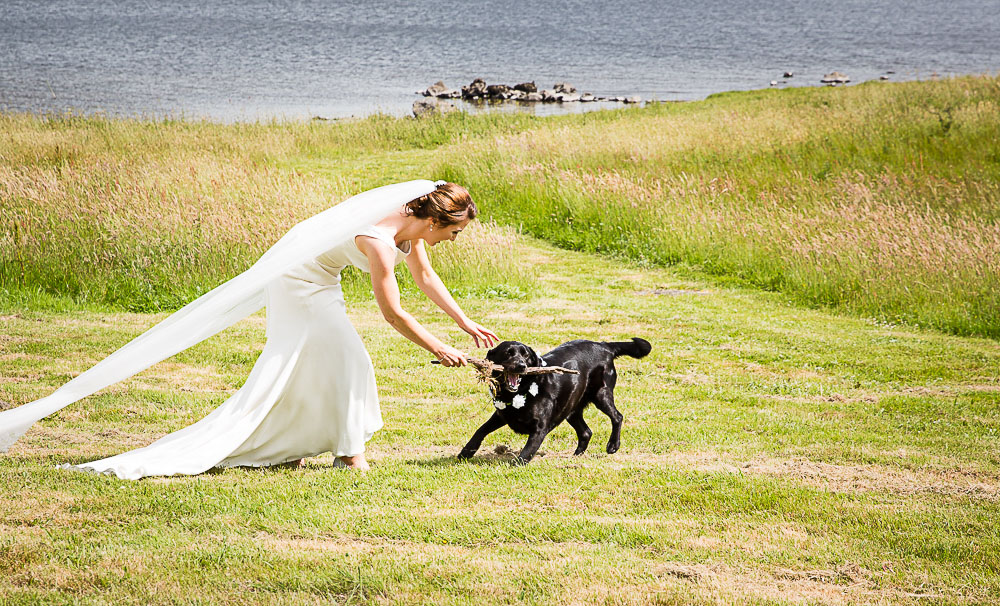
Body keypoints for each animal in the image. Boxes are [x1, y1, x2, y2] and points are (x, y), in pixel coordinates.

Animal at [458, 338, 652, 466]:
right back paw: (575, 456)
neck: (520, 392)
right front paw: (466, 451)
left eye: (526, 356)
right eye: (508, 353)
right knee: (586, 432)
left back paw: (613, 445)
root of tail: (604, 345)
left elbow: (527, 451)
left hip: (601, 394)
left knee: (617, 417)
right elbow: (480, 430)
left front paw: (516, 464)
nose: (521, 366)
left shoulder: (539, 428)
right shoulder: (502, 414)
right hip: (571, 409)